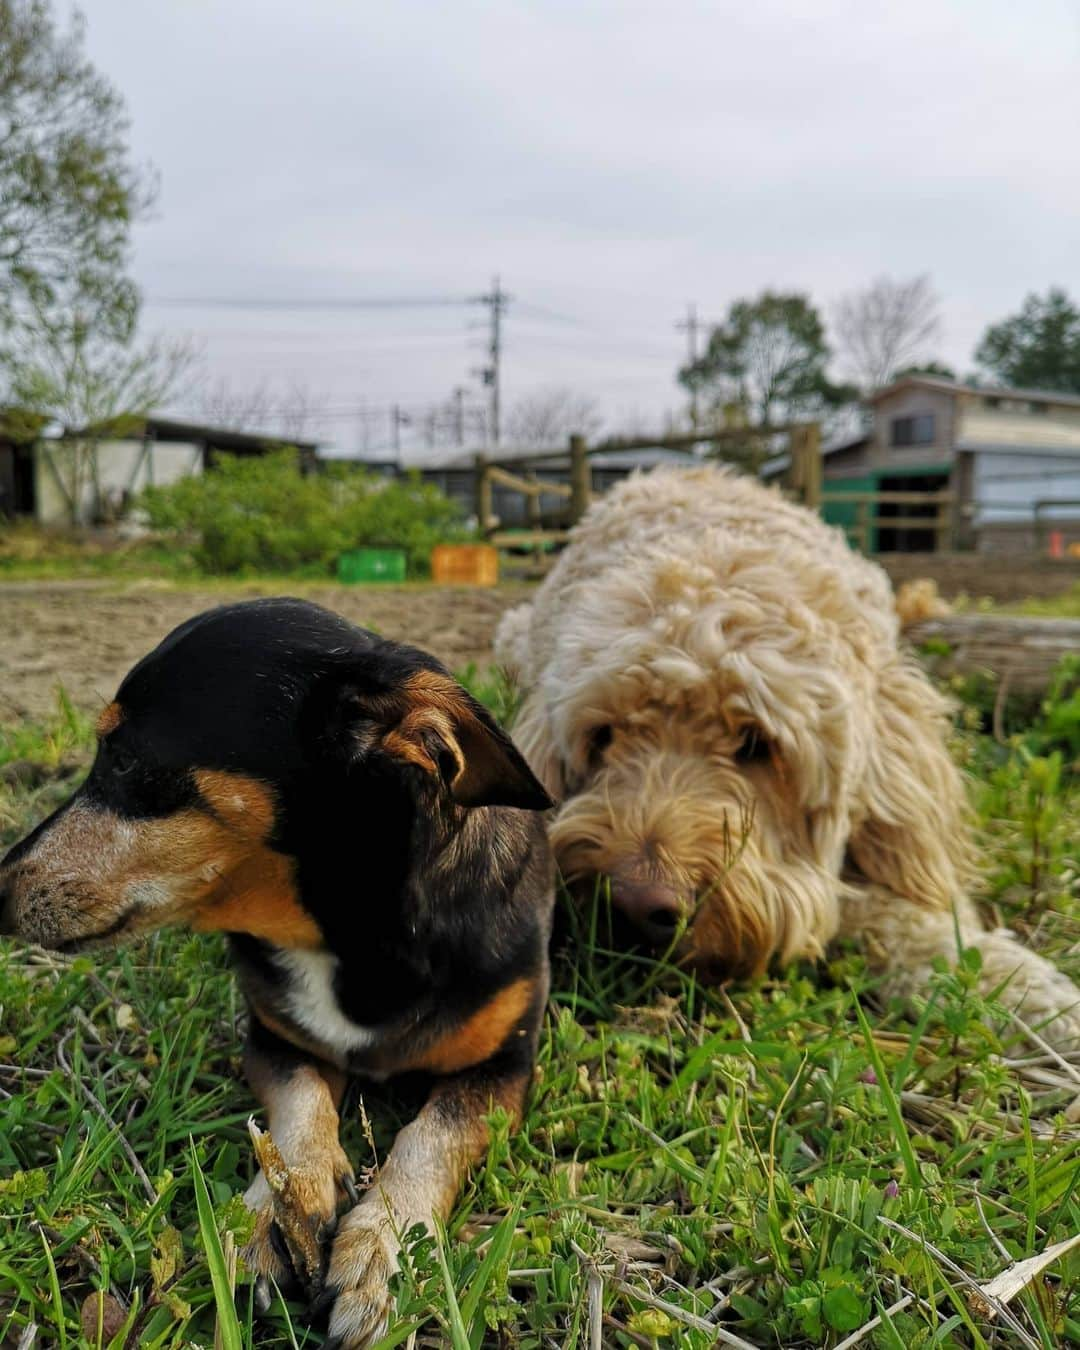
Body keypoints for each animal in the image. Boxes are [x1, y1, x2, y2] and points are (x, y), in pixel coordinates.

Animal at [0, 602, 556, 1350]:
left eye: (122, 758)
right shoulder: (271, 1038)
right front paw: (276, 1212)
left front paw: (382, 1251)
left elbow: (432, 1136)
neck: (344, 937)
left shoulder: (506, 1068)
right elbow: (299, 1103)